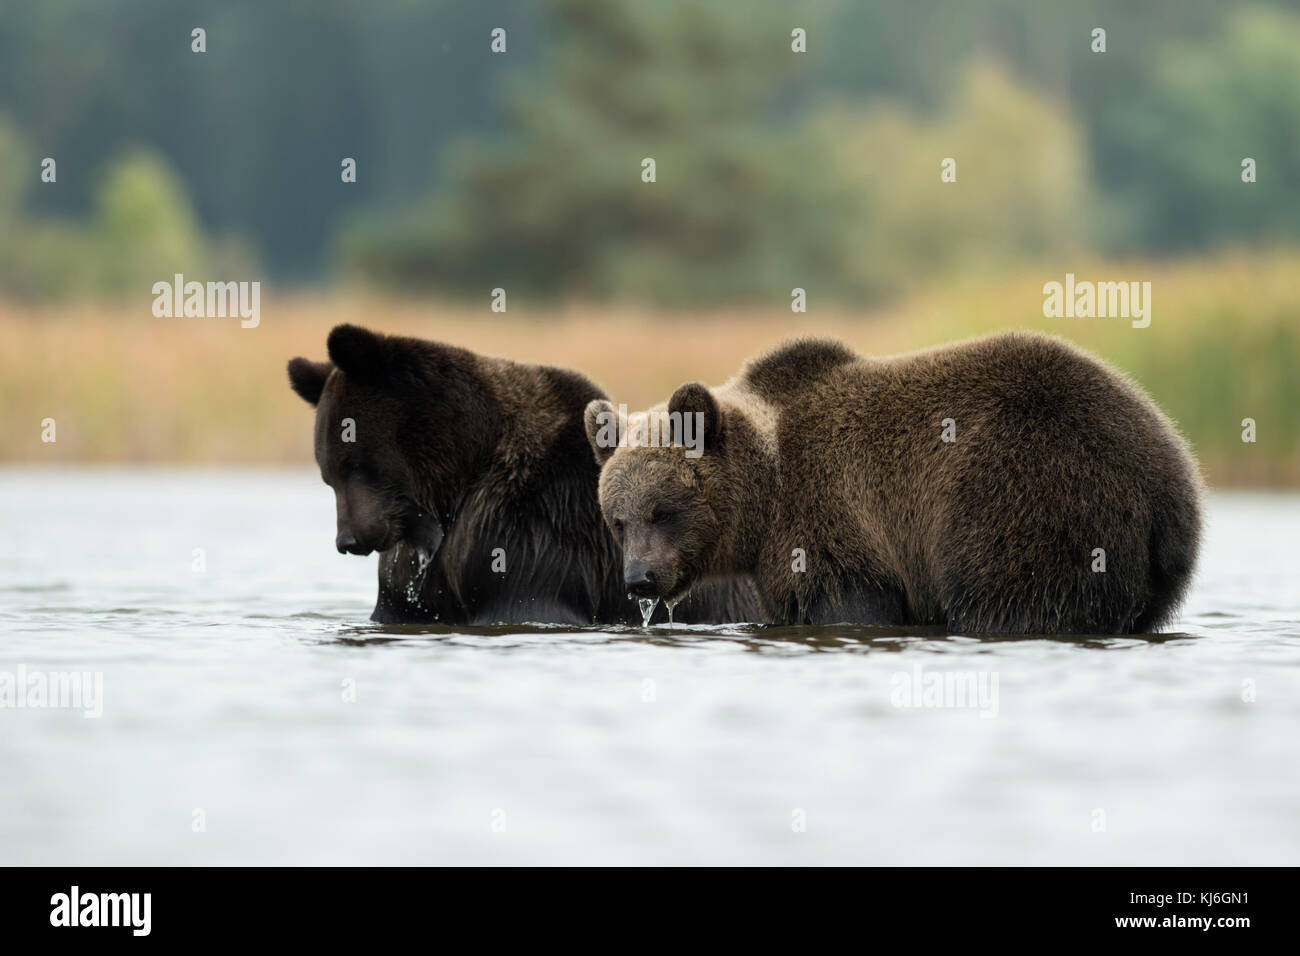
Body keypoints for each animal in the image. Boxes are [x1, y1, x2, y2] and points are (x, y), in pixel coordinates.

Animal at [287, 324, 757, 626]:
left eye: (354, 465)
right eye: (328, 475)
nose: (349, 540)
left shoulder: (534, 537)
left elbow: (524, 599)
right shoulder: (414, 569)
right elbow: (398, 603)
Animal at [585, 330, 1203, 634]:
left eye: (663, 509)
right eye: (617, 519)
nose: (639, 580)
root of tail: (1172, 475)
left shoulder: (830, 522)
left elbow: (848, 604)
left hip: (1031, 495)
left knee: (1015, 596)